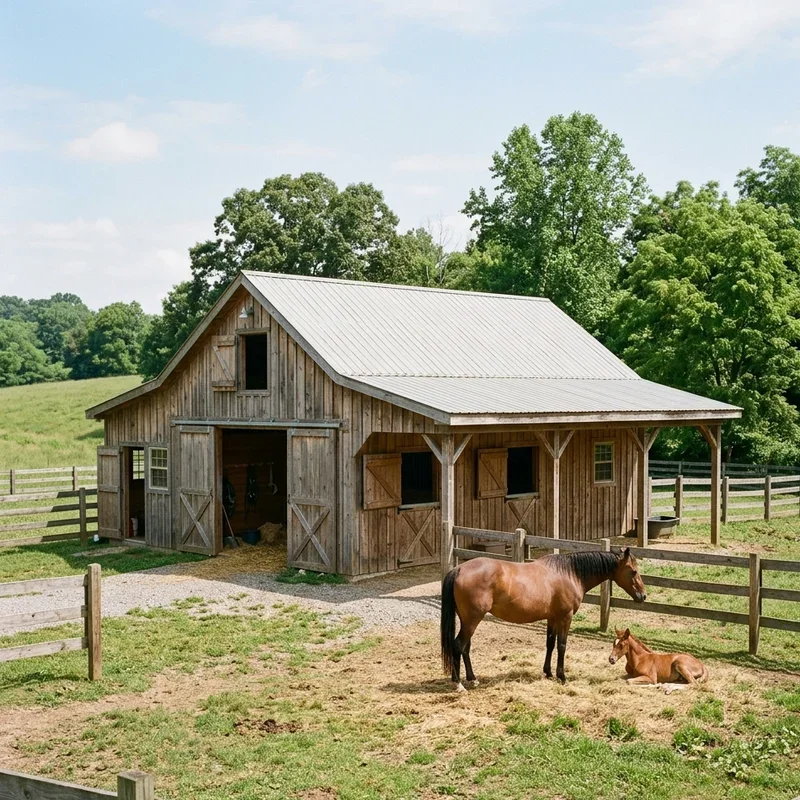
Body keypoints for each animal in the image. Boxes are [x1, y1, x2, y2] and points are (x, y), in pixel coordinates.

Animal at [440, 547, 646, 690]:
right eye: (633, 571)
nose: (643, 596)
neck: (570, 573)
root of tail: (459, 569)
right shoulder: (565, 617)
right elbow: (561, 645)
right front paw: (562, 676)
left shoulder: (552, 618)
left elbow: (550, 644)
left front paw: (548, 672)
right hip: (472, 621)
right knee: (458, 645)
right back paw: (459, 684)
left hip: (467, 620)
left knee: (465, 648)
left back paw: (472, 679)